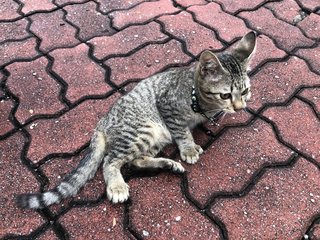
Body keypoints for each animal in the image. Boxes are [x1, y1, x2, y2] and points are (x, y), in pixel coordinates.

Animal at [18, 31, 258, 208]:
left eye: (245, 91)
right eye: (225, 95)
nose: (240, 107)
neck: (195, 96)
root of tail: (103, 121)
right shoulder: (168, 108)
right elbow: (182, 132)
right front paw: (189, 148)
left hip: (153, 137)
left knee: (136, 161)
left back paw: (168, 164)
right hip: (141, 130)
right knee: (110, 160)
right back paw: (117, 186)